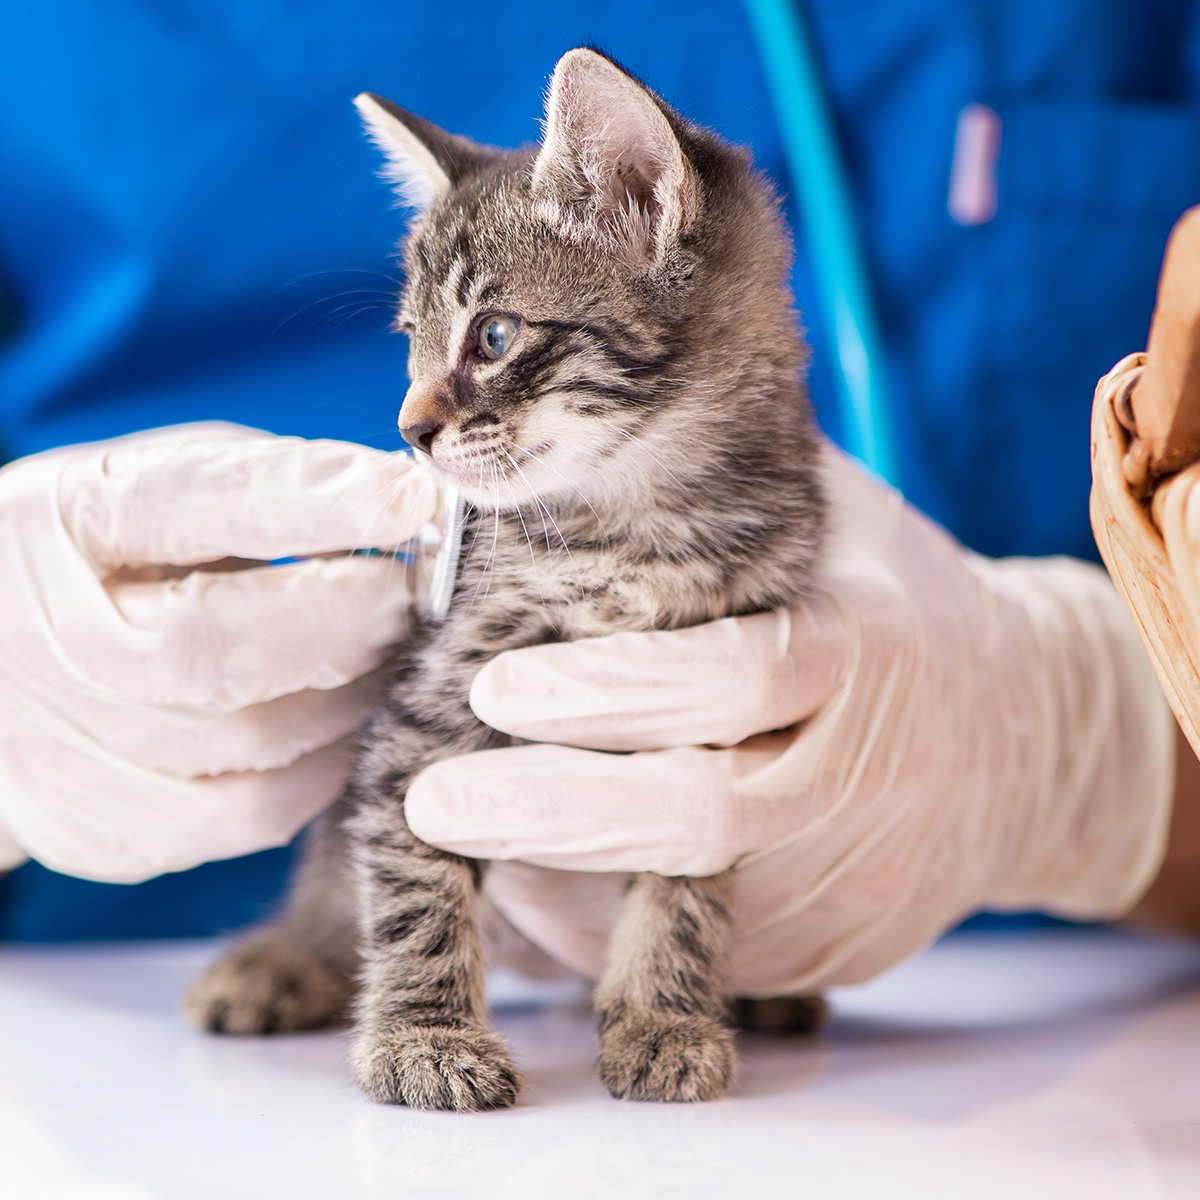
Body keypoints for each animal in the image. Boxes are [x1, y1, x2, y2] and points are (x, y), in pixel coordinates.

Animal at [184, 49, 825, 1113]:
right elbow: (412, 889)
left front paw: (661, 1015)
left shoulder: (717, 727)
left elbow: (685, 881)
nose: (409, 430)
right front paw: (425, 1038)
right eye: (409, 339)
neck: (640, 525)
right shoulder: (425, 717)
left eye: (492, 336)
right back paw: (279, 961)